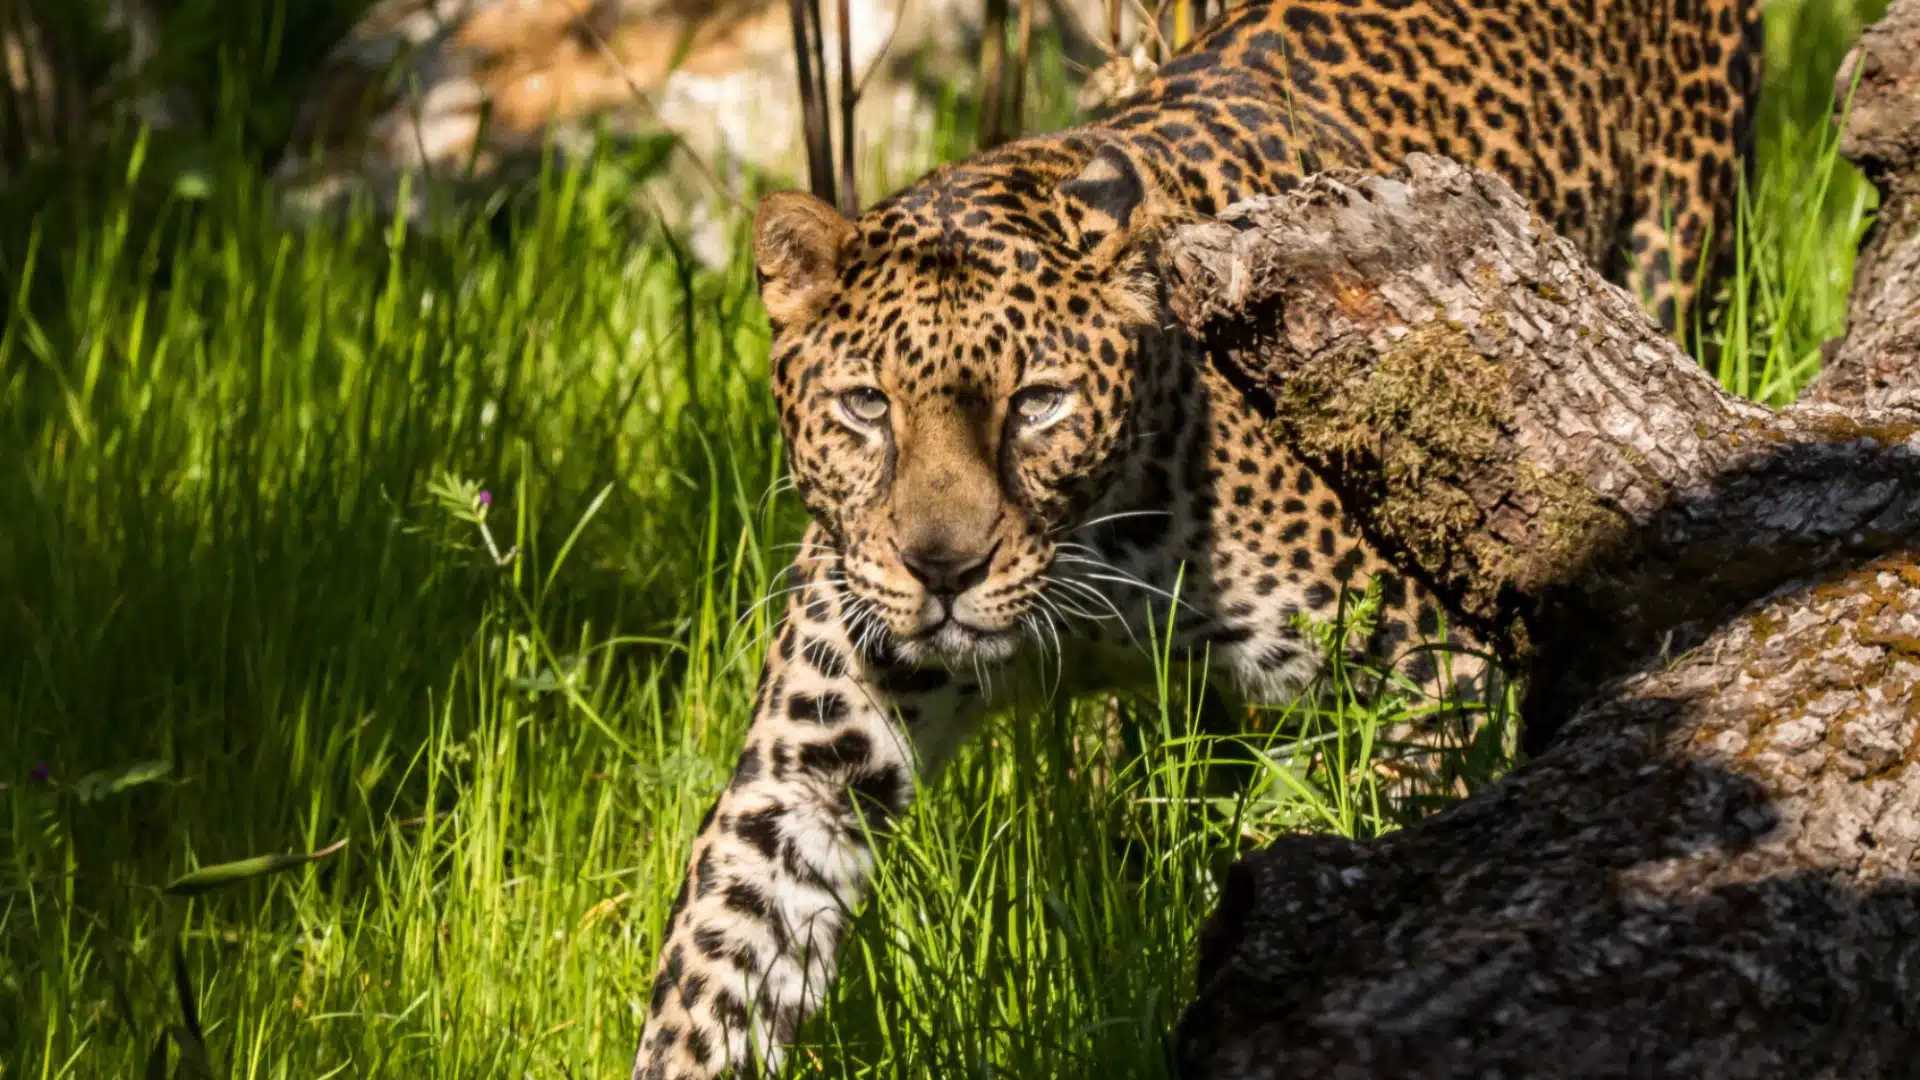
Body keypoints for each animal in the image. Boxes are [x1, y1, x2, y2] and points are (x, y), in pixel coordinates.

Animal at [630, 0, 1760, 1075]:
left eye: (1037, 404)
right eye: (867, 406)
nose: (941, 569)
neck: (1089, 569)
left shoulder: (1431, 679)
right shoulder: (808, 770)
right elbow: (716, 970)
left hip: (1674, 245)